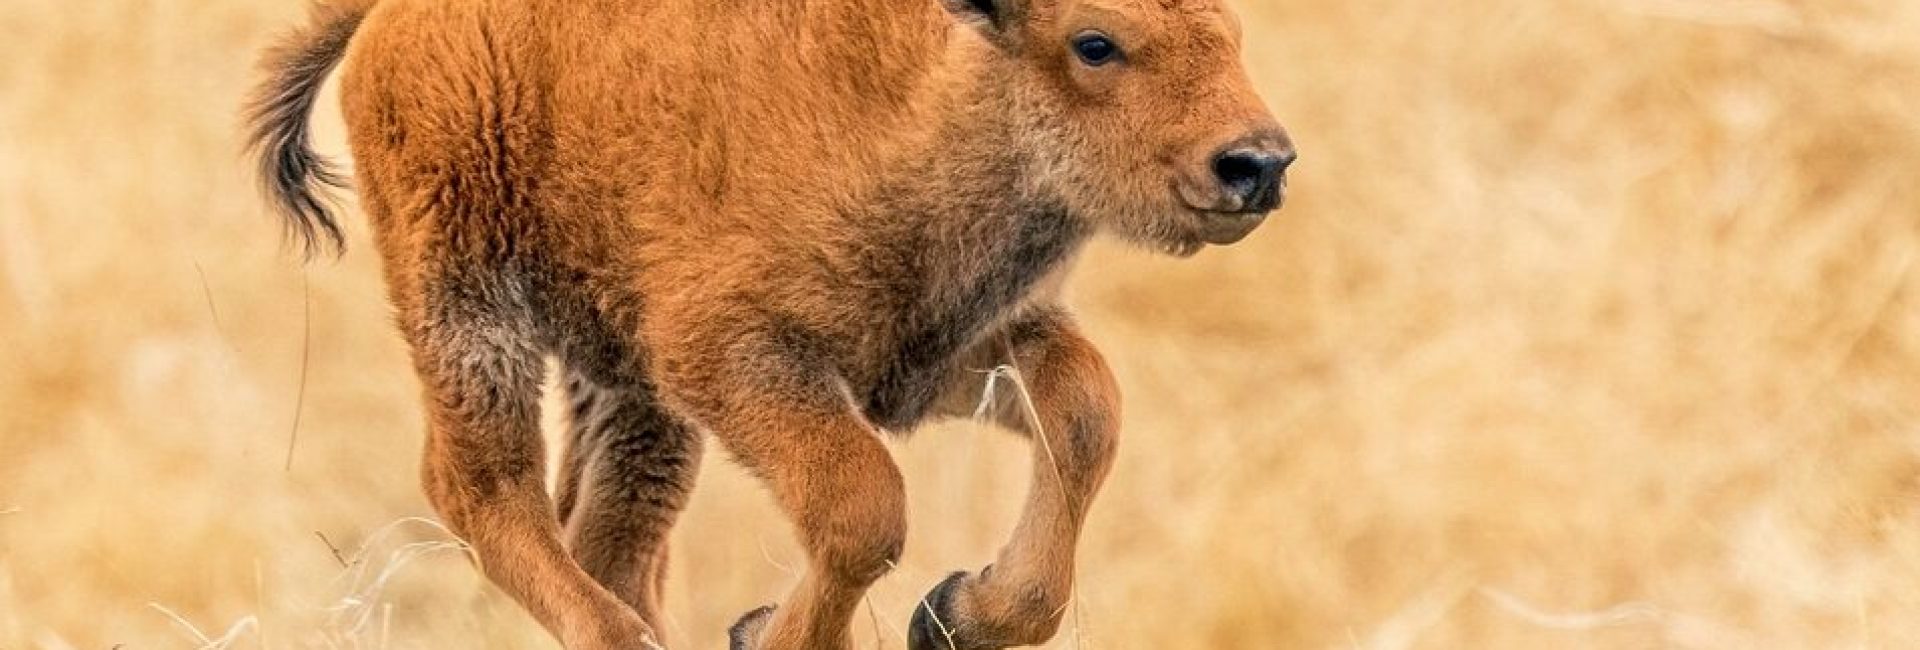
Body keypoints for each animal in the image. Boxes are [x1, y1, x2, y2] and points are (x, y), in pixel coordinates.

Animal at [246, 0, 1292, 647]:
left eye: (1233, 27)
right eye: (1095, 42)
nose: (1256, 163)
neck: (924, 101)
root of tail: (388, 16)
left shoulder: (936, 356)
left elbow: (1084, 416)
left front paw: (958, 614)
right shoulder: (738, 357)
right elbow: (863, 508)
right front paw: (772, 633)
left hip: (627, 383)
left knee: (608, 530)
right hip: (466, 305)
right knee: (482, 487)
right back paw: (619, 639)